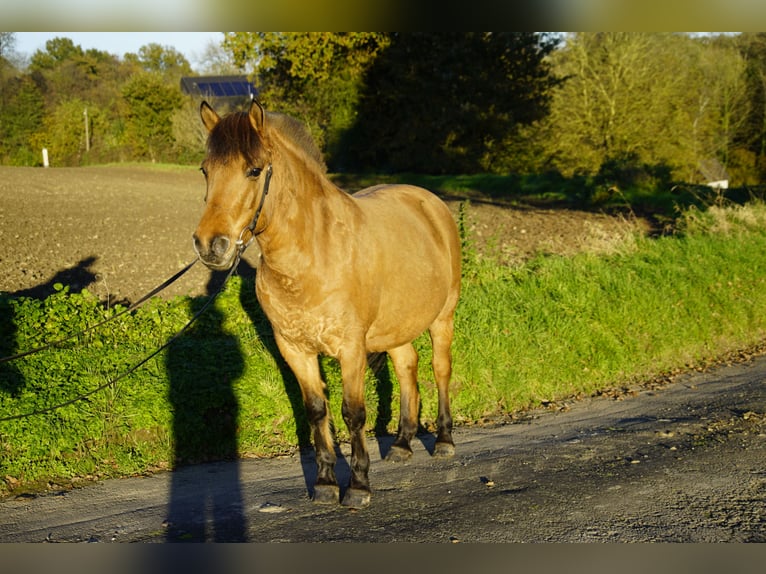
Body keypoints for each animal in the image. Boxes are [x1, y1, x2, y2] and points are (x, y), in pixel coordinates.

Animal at [195, 99, 464, 508]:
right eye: (205, 170)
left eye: (253, 170)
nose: (211, 244)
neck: (313, 254)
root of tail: (431, 203)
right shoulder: (295, 350)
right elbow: (316, 410)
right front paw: (324, 482)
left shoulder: (351, 349)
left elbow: (353, 413)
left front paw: (358, 486)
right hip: (396, 326)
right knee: (407, 366)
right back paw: (402, 443)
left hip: (442, 317)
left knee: (440, 369)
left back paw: (445, 440)